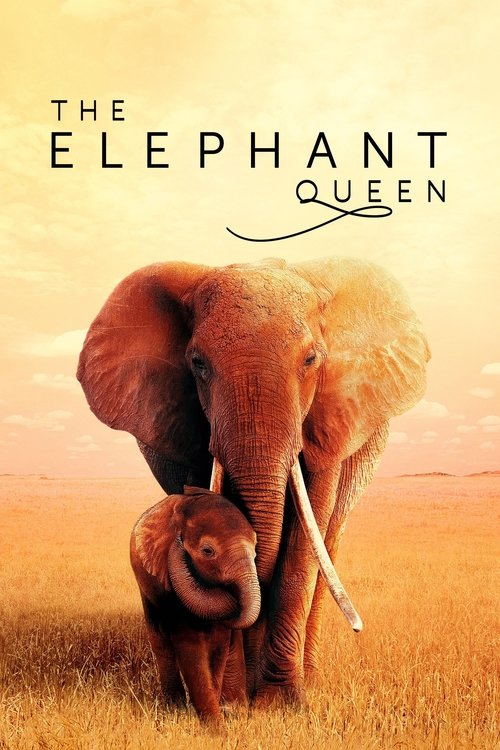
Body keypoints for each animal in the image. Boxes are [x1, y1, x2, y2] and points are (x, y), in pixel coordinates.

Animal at [130, 486, 260, 723]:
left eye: (255, 550)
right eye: (208, 551)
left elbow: (219, 644)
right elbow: (189, 643)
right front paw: (212, 726)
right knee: (161, 642)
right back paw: (174, 707)